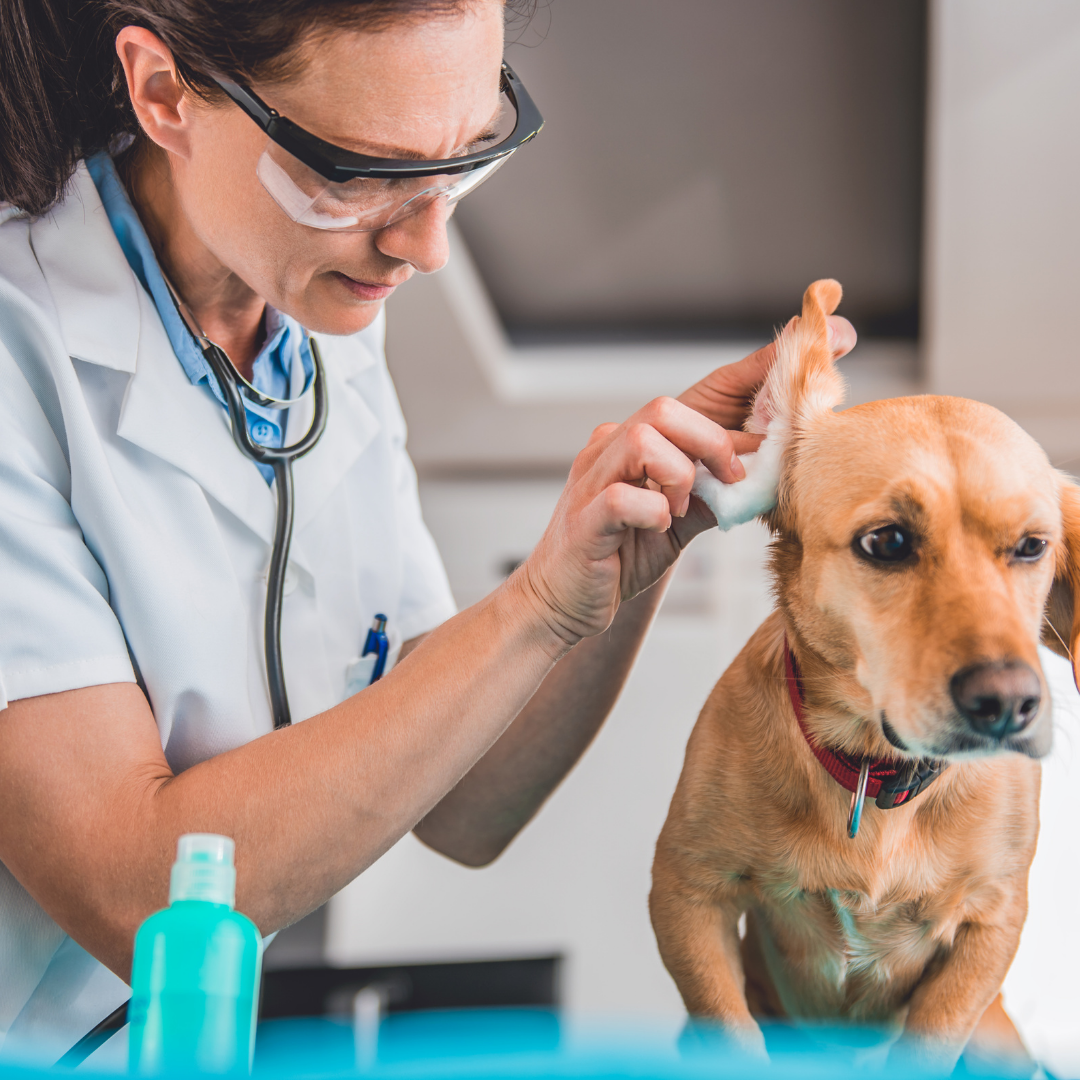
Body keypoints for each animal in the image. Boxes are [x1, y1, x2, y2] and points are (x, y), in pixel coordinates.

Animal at [648, 280, 1080, 1071]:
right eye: (887, 541)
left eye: (1033, 546)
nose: (1009, 705)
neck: (876, 777)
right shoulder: (688, 895)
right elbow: (731, 1029)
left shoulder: (992, 926)